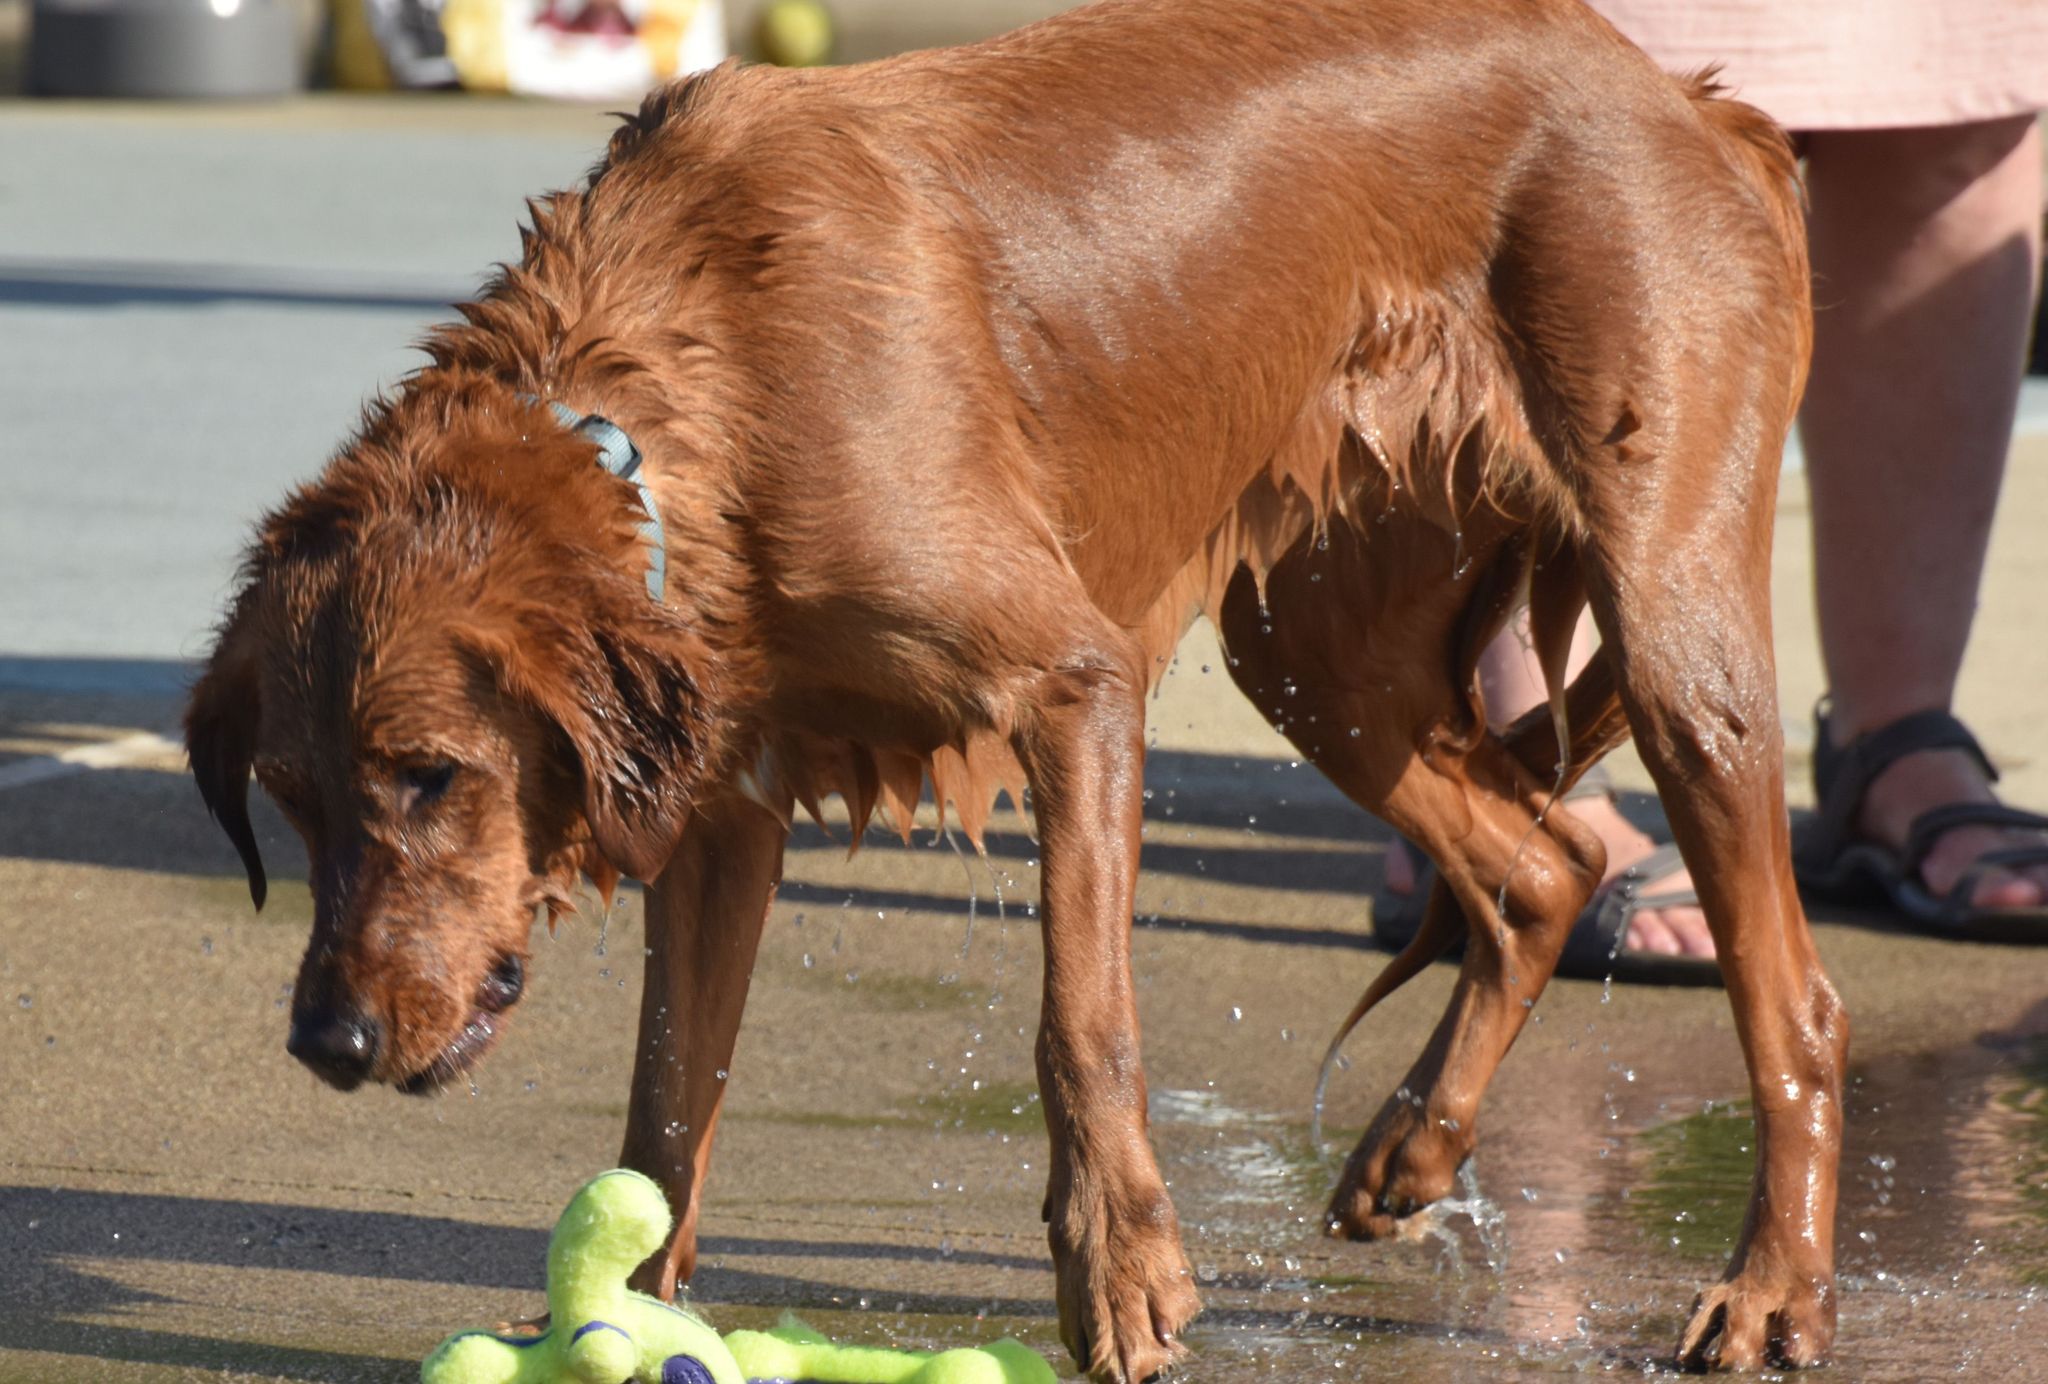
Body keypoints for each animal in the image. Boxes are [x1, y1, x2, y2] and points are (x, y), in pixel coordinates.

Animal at [188, 5, 1843, 1375]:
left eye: (431, 775)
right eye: (292, 801)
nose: (327, 1043)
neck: (699, 377)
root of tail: (1698, 102)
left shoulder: (1074, 684)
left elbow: (1081, 1024)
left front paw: (1122, 1272)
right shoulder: (723, 809)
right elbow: (666, 1104)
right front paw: (627, 1307)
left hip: (1671, 630)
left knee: (1797, 1003)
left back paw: (1772, 1292)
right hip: (1316, 654)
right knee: (1543, 866)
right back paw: (1413, 1155)